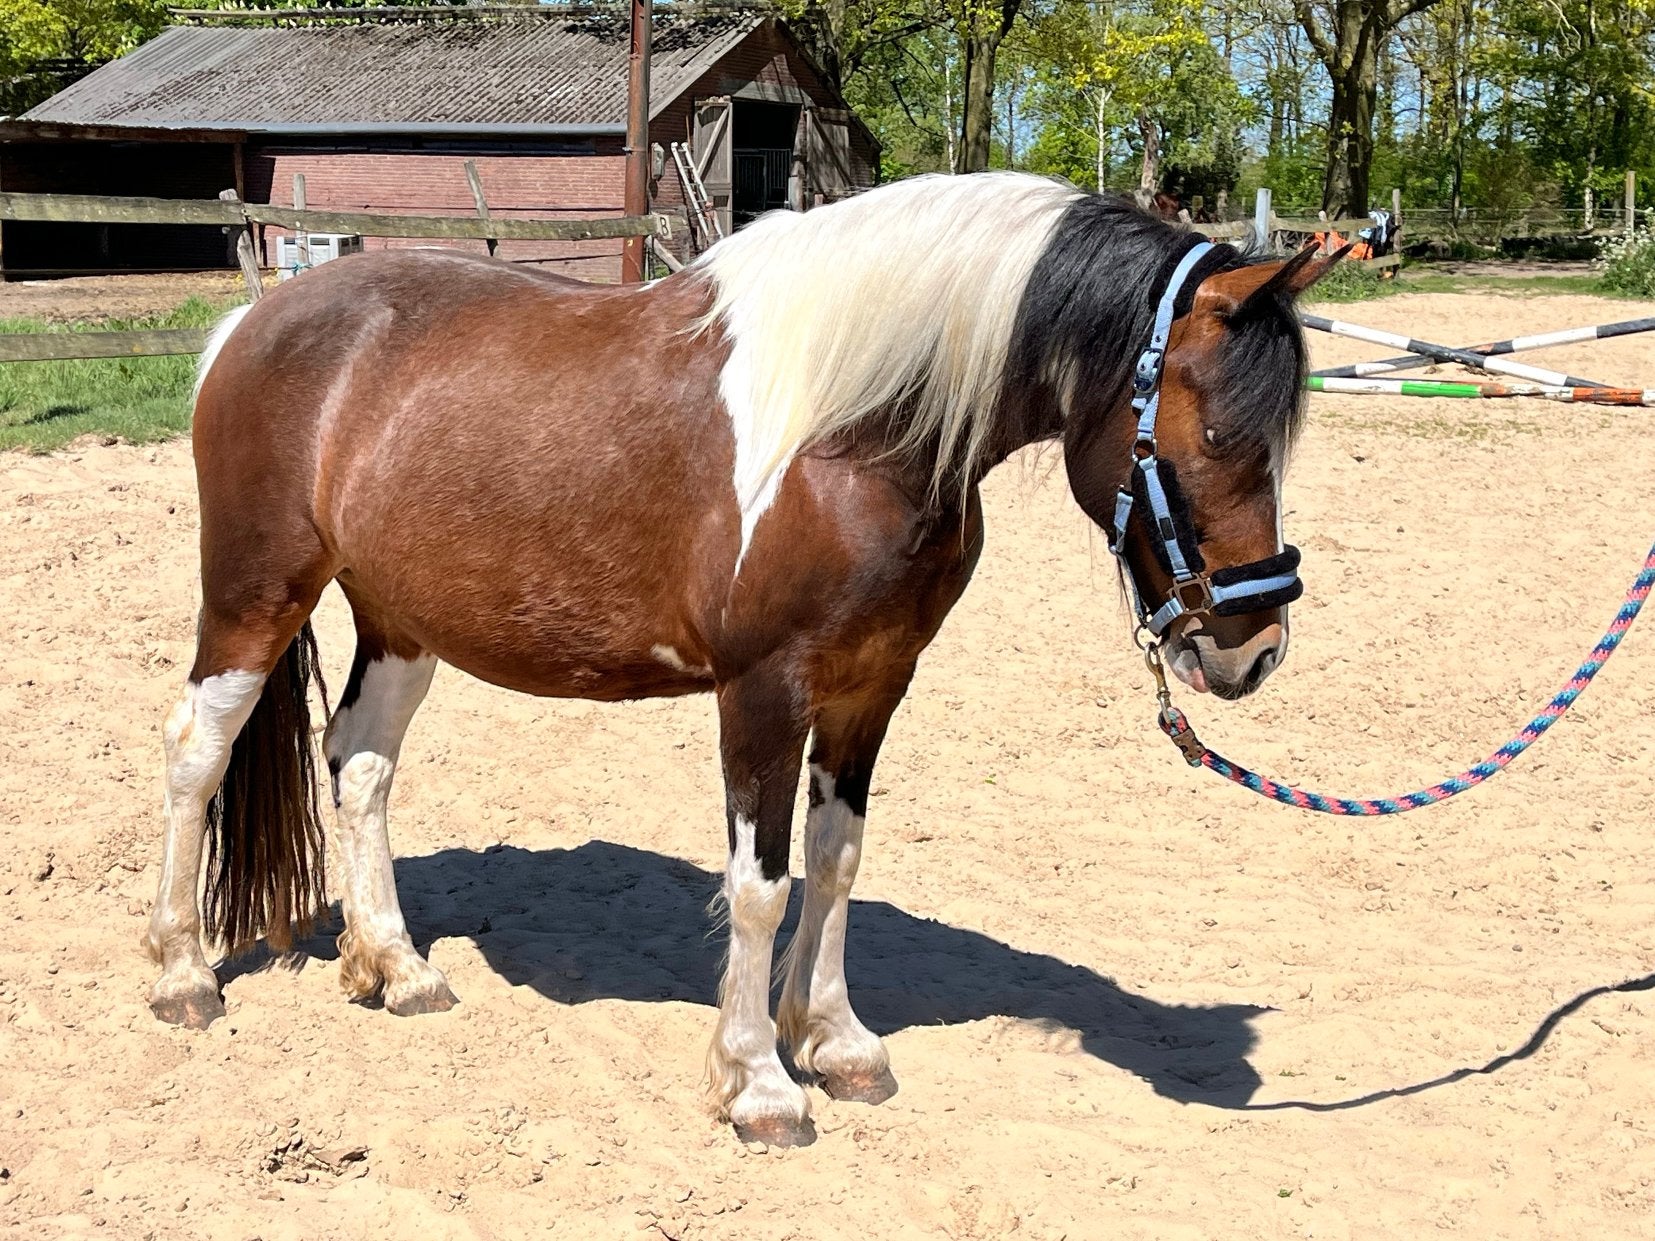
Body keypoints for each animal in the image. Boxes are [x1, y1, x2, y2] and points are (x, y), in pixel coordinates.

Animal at [146, 171, 1339, 1147]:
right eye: (1213, 437)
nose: (1252, 649)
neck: (855, 430)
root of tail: (250, 321)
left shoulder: (871, 686)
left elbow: (836, 858)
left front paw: (836, 1040)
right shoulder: (762, 691)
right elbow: (759, 882)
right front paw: (759, 1081)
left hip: (400, 621)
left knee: (360, 762)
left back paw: (395, 967)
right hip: (255, 594)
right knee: (198, 751)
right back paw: (184, 974)